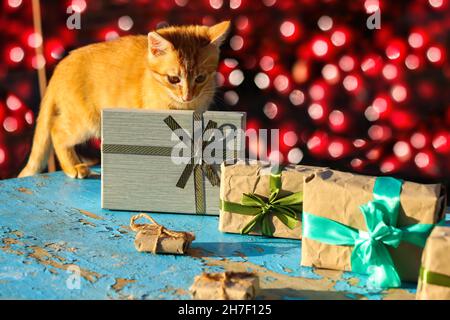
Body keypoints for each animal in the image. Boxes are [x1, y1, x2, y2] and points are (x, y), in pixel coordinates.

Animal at [18, 21, 230, 179]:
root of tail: (62, 64)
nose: (187, 95)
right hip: (86, 121)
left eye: (200, 78)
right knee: (57, 131)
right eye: (173, 79)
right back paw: (73, 167)